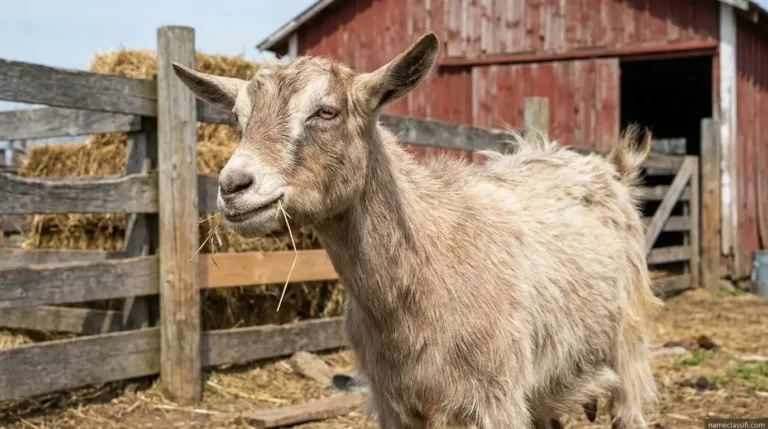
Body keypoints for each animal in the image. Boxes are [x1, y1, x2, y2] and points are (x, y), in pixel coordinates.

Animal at [173, 32, 662, 428]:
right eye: (238, 119)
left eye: (326, 112)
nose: (233, 186)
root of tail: (609, 167)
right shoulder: (394, 401)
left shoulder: (496, 397)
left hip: (628, 348)